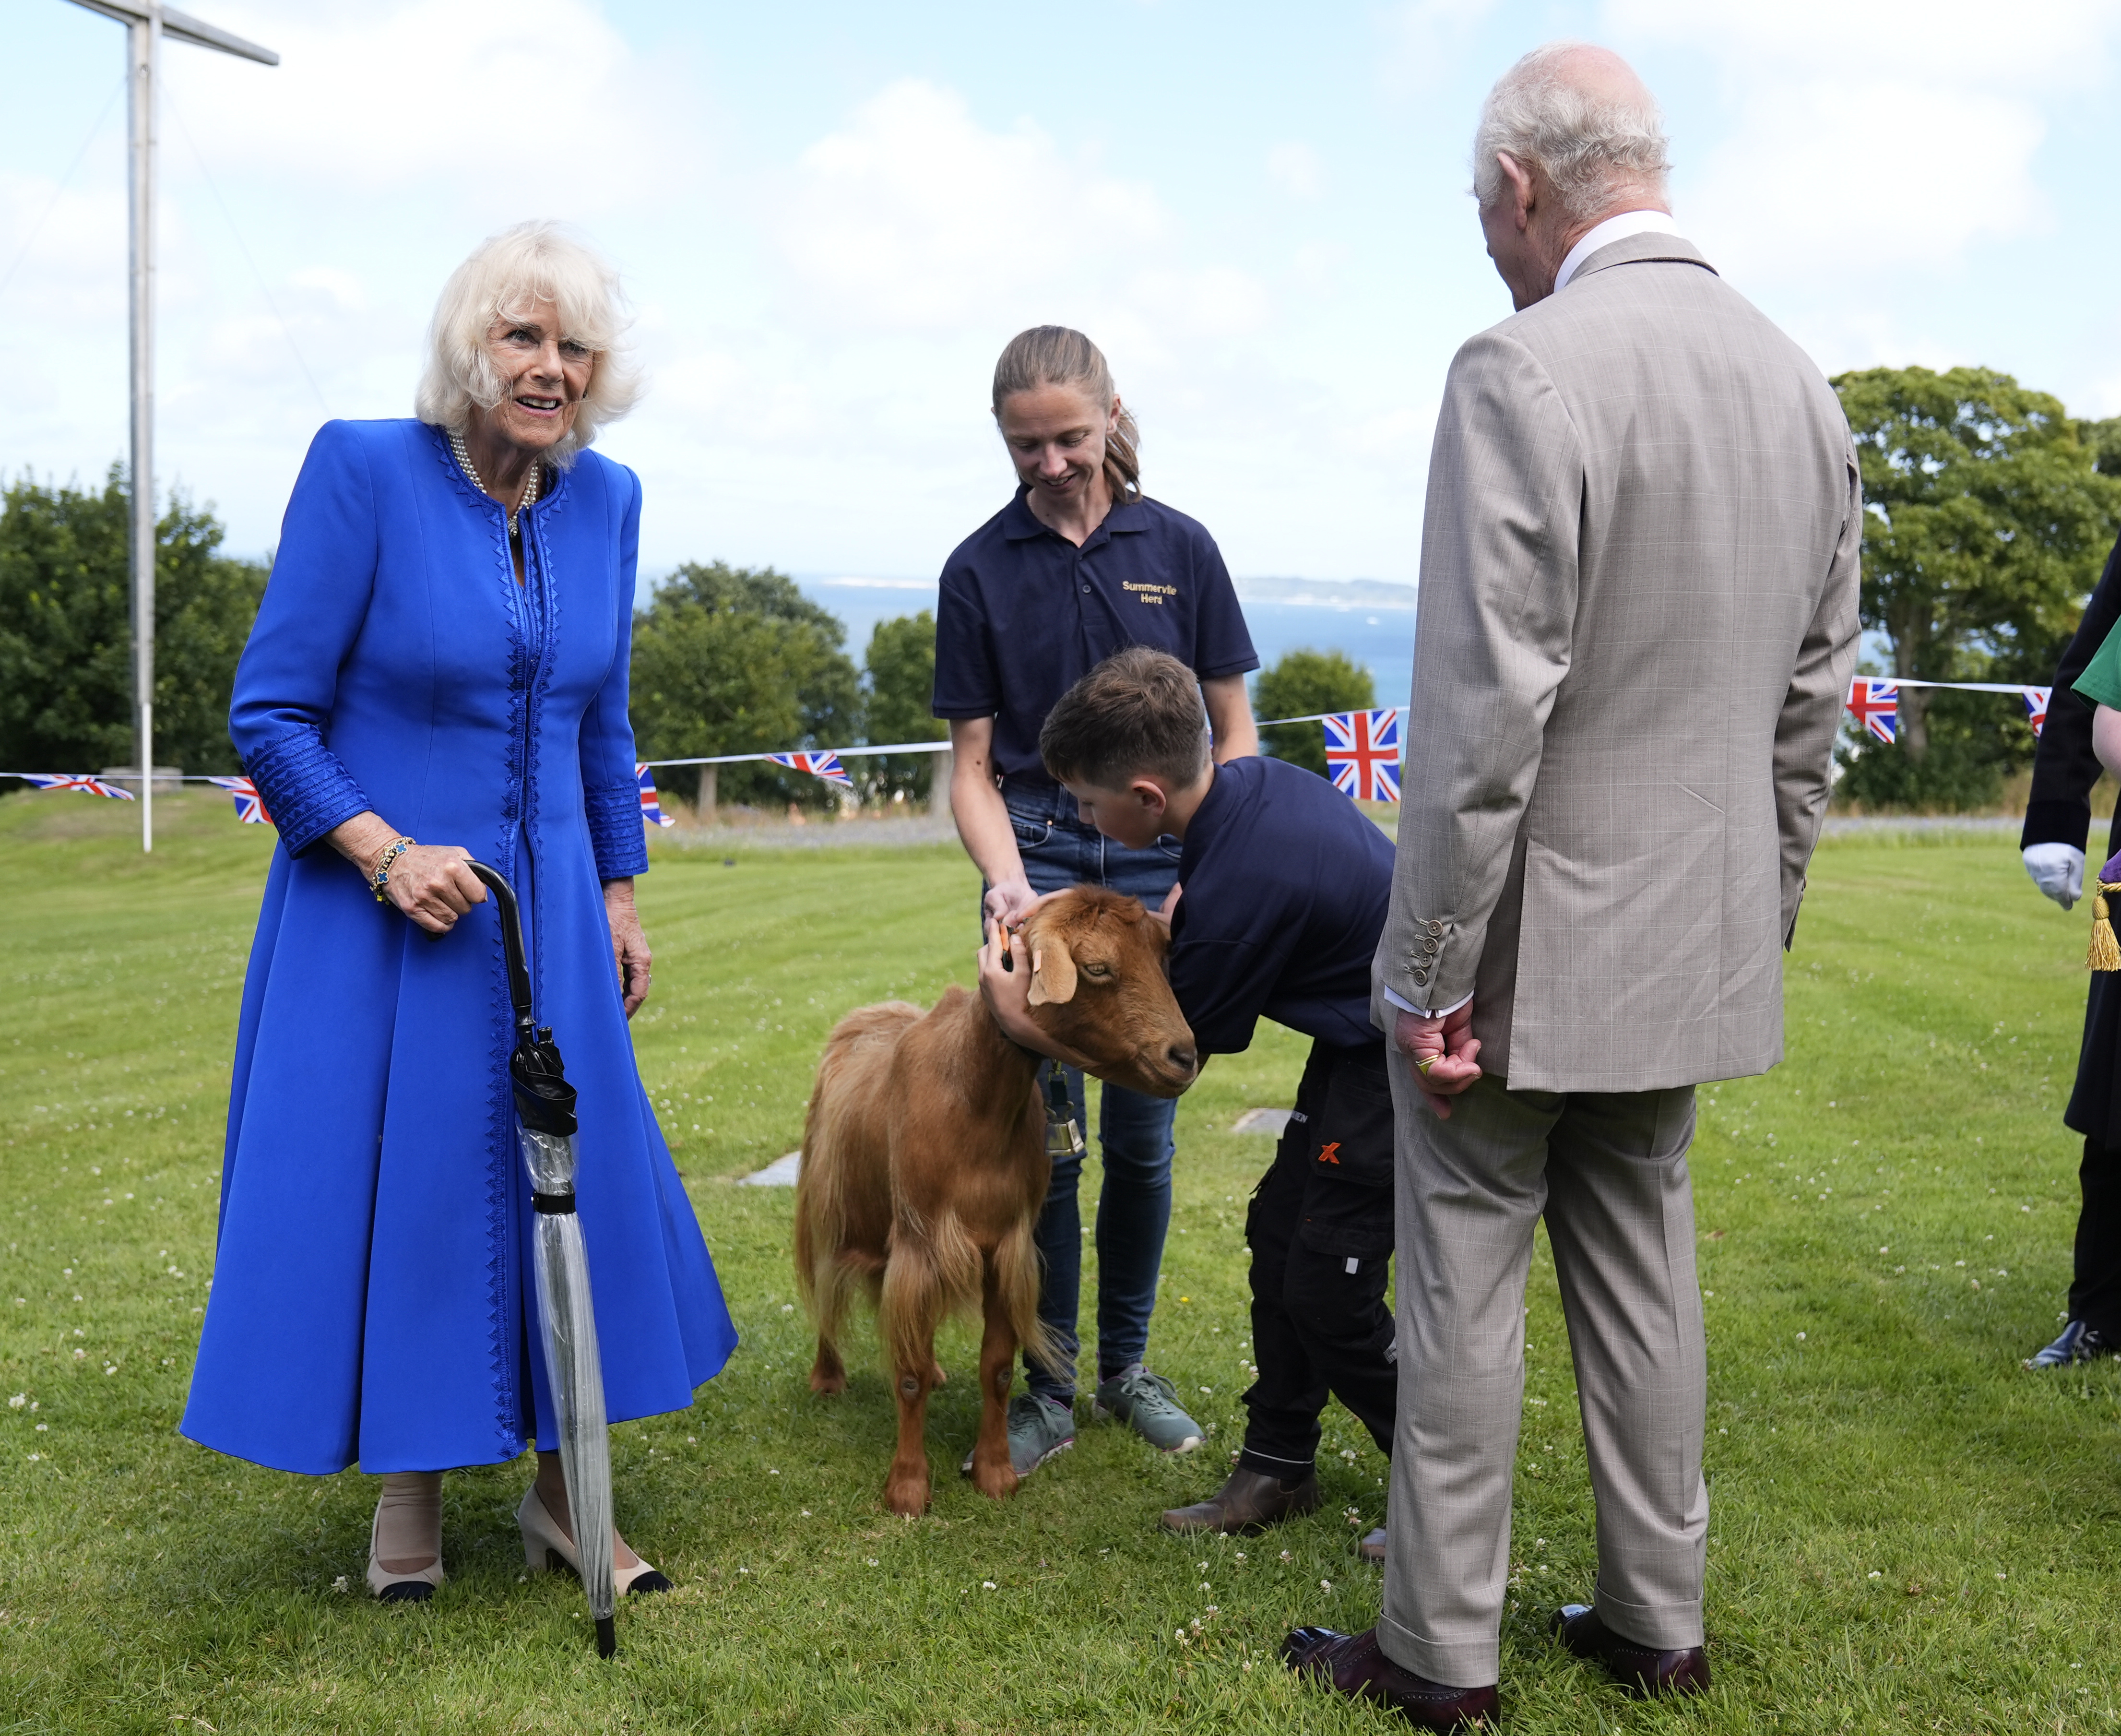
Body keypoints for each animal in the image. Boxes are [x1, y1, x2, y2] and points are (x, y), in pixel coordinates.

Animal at [793, 887, 1196, 1511]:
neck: (973, 1098)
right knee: (824, 1292)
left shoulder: (1005, 1249)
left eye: (1161, 958)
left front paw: (996, 1473)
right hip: (828, 1204)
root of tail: (869, 1014)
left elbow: (998, 1369)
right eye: (1096, 968)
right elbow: (906, 1376)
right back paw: (827, 1377)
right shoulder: (919, 1244)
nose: (1184, 1056)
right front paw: (907, 1489)